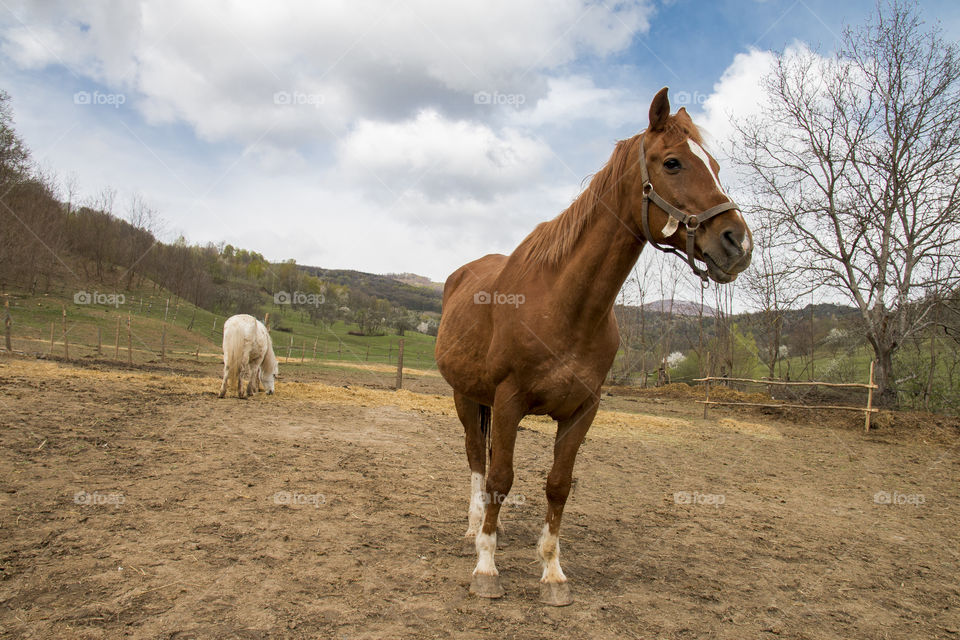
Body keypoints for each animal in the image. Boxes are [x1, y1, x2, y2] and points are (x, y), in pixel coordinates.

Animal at [434, 89, 752, 604]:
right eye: (673, 163)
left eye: (717, 166)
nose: (737, 243)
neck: (566, 305)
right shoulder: (508, 401)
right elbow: (501, 478)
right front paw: (486, 567)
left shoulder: (583, 409)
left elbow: (558, 485)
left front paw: (552, 571)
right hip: (466, 396)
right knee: (476, 459)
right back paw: (475, 528)